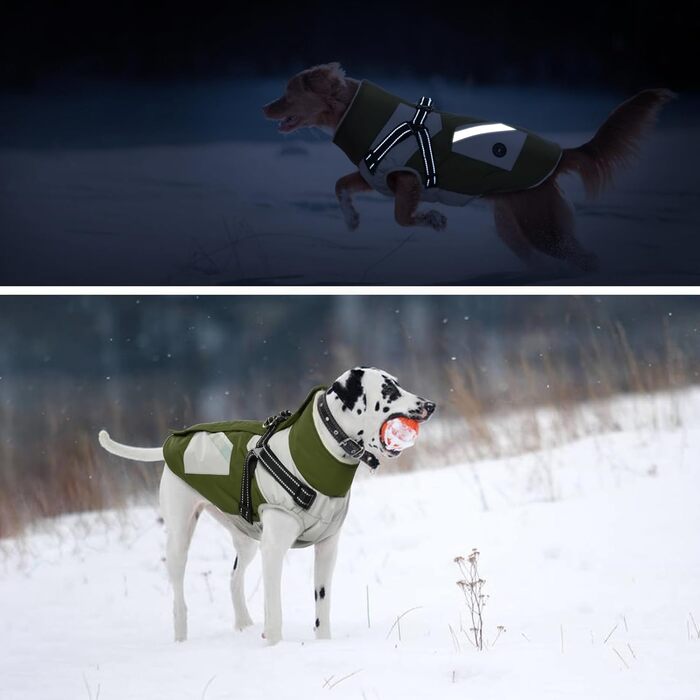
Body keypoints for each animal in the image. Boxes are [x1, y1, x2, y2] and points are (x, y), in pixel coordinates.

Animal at [98, 366, 434, 644]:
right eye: (389, 390)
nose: (430, 405)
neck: (320, 454)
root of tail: (170, 444)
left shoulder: (327, 549)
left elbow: (322, 607)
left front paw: (323, 643)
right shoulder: (273, 551)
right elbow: (274, 611)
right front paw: (274, 646)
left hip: (246, 541)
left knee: (234, 580)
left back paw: (243, 625)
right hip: (180, 539)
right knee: (179, 599)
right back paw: (182, 640)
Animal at [262, 63, 672, 270]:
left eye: (288, 93)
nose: (264, 108)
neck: (356, 112)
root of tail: (560, 155)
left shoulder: (407, 179)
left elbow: (402, 217)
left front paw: (434, 220)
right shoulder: (376, 175)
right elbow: (340, 184)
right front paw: (351, 220)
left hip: (542, 228)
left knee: (587, 259)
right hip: (515, 227)